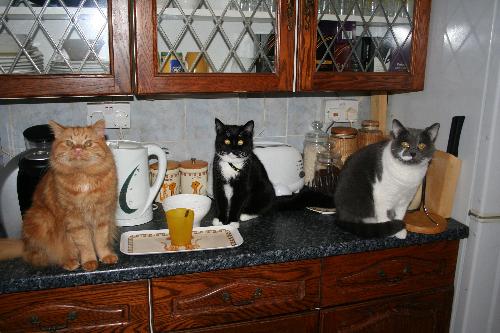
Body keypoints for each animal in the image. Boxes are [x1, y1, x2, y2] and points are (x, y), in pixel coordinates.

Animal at [0, 119, 118, 270]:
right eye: (69, 143)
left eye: (88, 143)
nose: (78, 149)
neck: (83, 176)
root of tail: (24, 245)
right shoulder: (75, 219)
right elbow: (85, 244)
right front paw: (89, 261)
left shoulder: (102, 216)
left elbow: (101, 241)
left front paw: (105, 256)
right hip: (42, 219)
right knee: (42, 256)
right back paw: (69, 262)